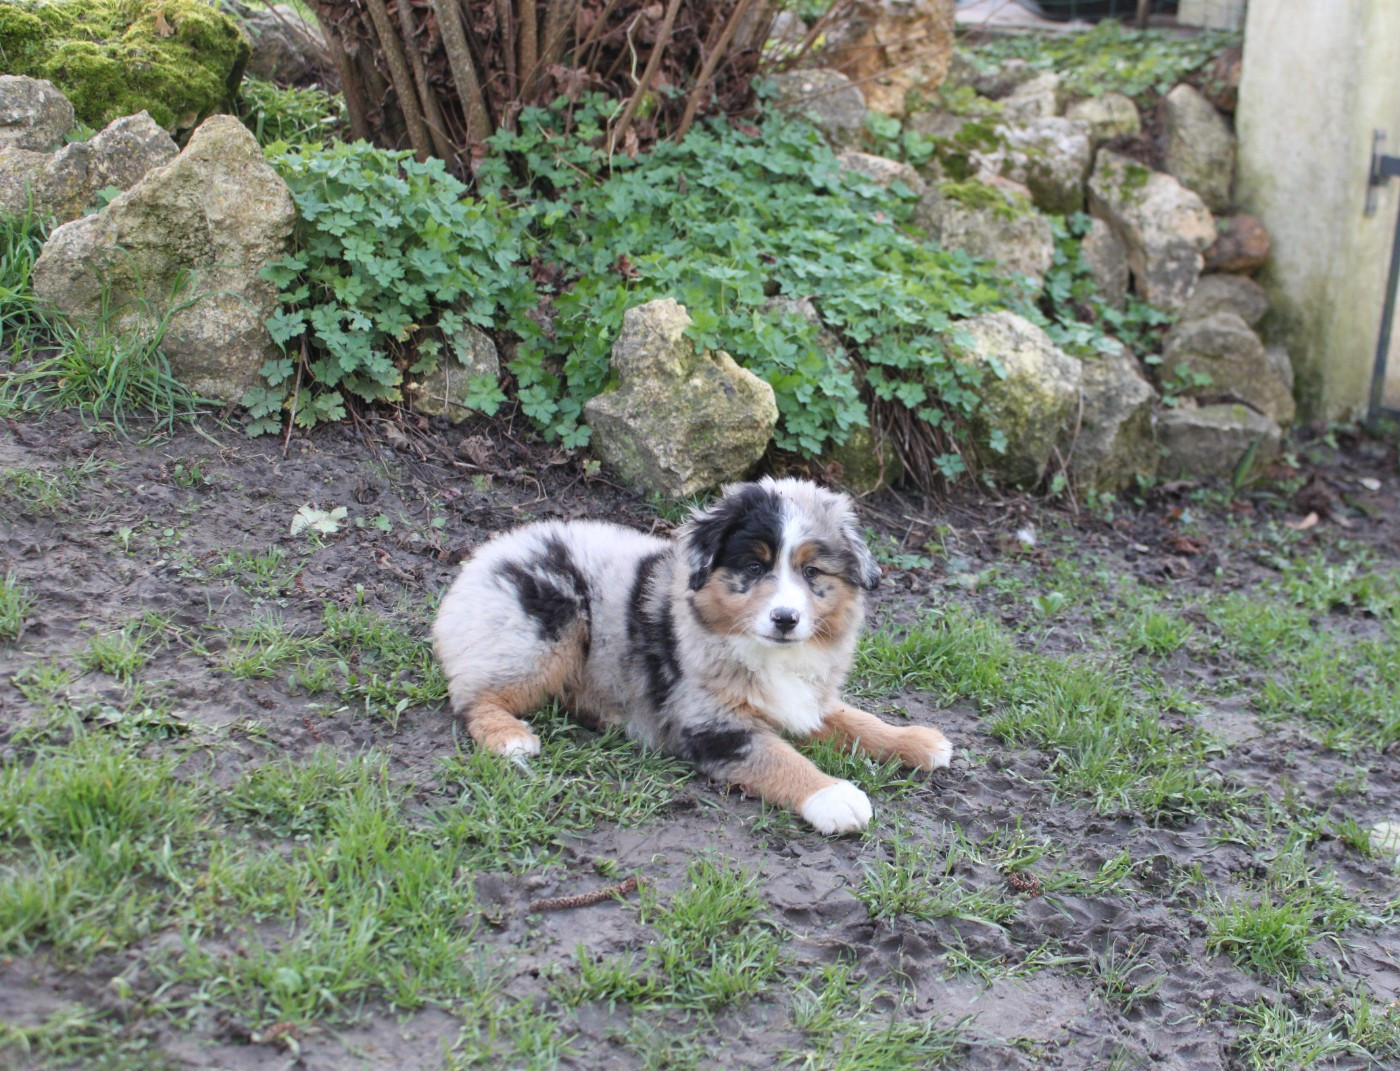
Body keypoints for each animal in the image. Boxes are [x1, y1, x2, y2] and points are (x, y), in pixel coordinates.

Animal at [432, 477, 951, 834]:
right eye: (754, 567)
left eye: (812, 572)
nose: (785, 619)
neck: (764, 651)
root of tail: (487, 555)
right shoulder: (712, 724)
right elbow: (780, 758)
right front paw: (835, 797)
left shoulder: (804, 698)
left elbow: (854, 719)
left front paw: (918, 741)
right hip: (546, 631)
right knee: (472, 697)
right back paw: (510, 737)